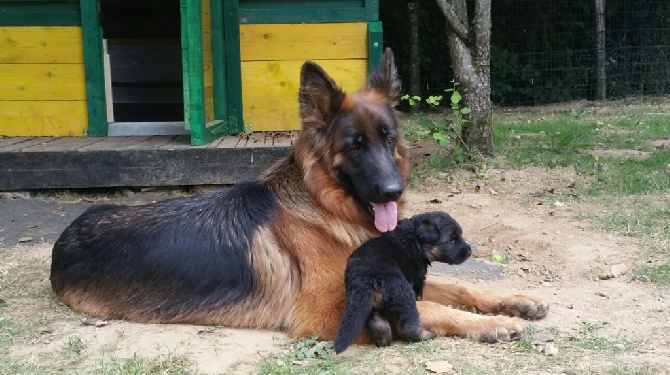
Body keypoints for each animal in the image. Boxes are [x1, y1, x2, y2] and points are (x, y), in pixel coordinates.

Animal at [336, 213, 472, 354]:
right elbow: (419, 294)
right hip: (403, 292)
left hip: (372, 304)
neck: (415, 238)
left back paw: (384, 340)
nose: (469, 251)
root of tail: (365, 276)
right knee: (406, 326)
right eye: (452, 239)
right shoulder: (418, 278)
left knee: (379, 324)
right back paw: (426, 336)